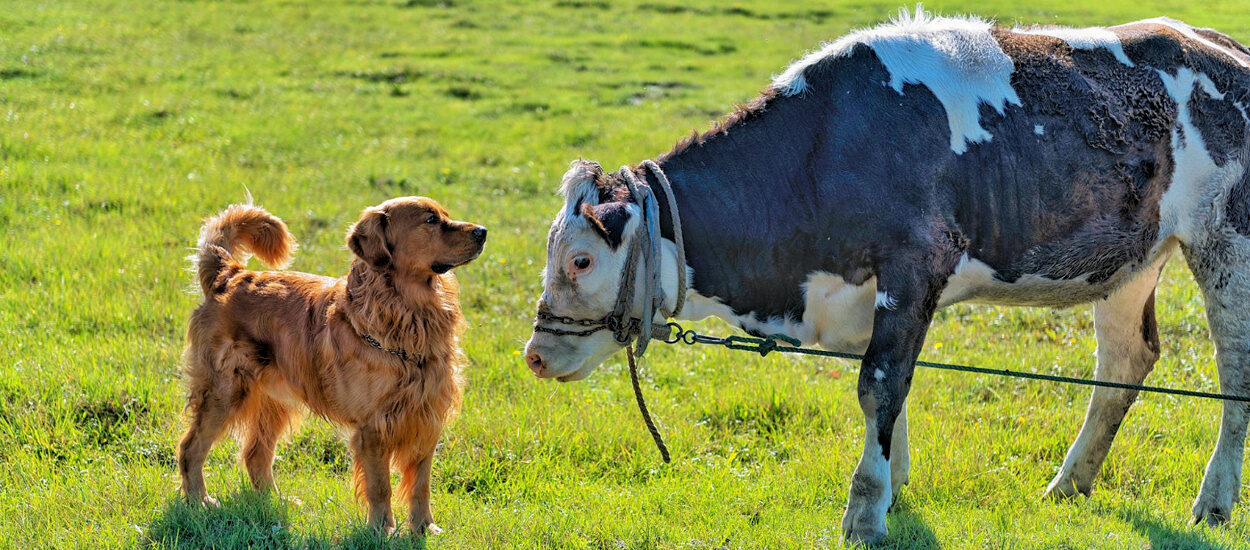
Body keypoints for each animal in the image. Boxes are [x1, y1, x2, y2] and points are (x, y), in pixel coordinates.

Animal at [178, 196, 485, 532]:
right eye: (430, 220)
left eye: (445, 215)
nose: (482, 231)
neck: (408, 314)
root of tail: (231, 275)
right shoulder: (374, 427)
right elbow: (381, 486)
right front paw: (383, 529)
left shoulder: (426, 416)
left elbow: (421, 485)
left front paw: (424, 529)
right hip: (224, 392)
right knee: (191, 448)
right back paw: (199, 502)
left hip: (274, 400)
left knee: (255, 454)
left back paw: (275, 500)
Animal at [522, 9, 1250, 545]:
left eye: (581, 260)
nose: (533, 354)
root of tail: (1218, 42)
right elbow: (891, 389)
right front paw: (893, 492)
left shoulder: (915, 263)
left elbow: (878, 384)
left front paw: (863, 514)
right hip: (1134, 258)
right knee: (1126, 360)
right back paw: (1069, 483)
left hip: (1226, 242)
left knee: (1234, 376)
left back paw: (1213, 504)